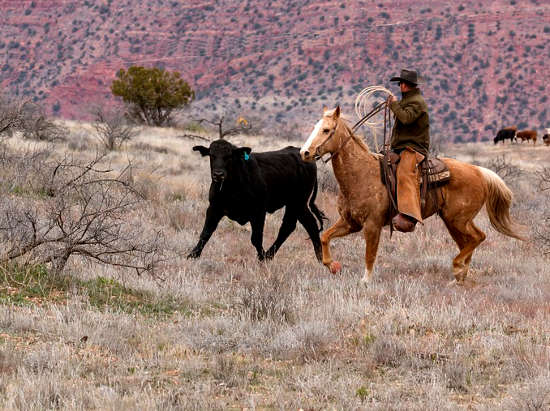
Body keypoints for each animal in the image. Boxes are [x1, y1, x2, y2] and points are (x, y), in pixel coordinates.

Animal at [190, 138, 328, 260]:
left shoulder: (259, 211)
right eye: (212, 155)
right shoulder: (214, 208)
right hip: (295, 204)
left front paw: (261, 258)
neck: (231, 187)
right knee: (297, 225)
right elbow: (205, 233)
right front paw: (192, 255)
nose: (218, 174)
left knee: (300, 225)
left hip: (298, 202)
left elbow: (256, 238)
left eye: (229, 156)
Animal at [302, 107, 528, 284]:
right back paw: (460, 275)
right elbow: (325, 236)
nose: (305, 152)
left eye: (326, 130)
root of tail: (480, 171)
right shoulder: (350, 222)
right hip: (454, 220)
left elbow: (370, 254)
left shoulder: (372, 225)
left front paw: (365, 280)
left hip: (458, 219)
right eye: (313, 127)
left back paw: (457, 268)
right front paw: (332, 265)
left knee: (478, 237)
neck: (361, 174)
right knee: (468, 241)